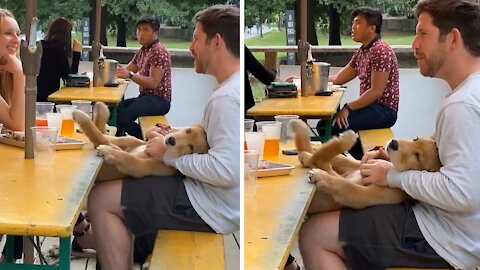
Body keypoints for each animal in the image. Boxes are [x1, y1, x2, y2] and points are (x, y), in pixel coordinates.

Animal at [74, 102, 209, 180]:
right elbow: (106, 136)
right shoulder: (130, 141)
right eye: (188, 130)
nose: (171, 140)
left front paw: (107, 151)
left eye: (191, 147)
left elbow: (125, 156)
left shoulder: (141, 166)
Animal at [290, 119, 440, 213]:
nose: (393, 143)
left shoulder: (364, 194)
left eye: (417, 156)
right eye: (415, 139)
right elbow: (330, 158)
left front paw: (322, 177)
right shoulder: (359, 165)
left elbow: (344, 184)